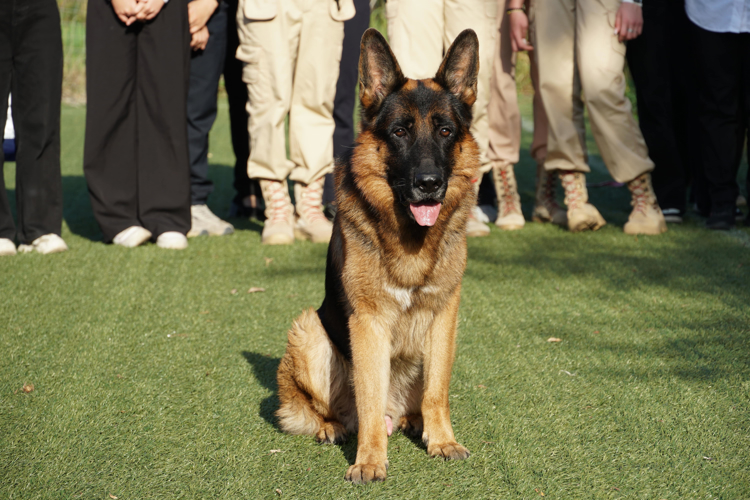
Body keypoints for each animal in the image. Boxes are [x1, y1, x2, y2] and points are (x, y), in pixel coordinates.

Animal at [276, 28, 482, 484]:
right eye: (400, 132)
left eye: (445, 131)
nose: (429, 184)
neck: (410, 237)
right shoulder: (368, 323)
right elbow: (369, 399)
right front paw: (370, 460)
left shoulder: (445, 315)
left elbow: (437, 390)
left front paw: (442, 441)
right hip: (309, 329)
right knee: (331, 411)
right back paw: (333, 428)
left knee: (416, 403)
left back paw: (418, 423)